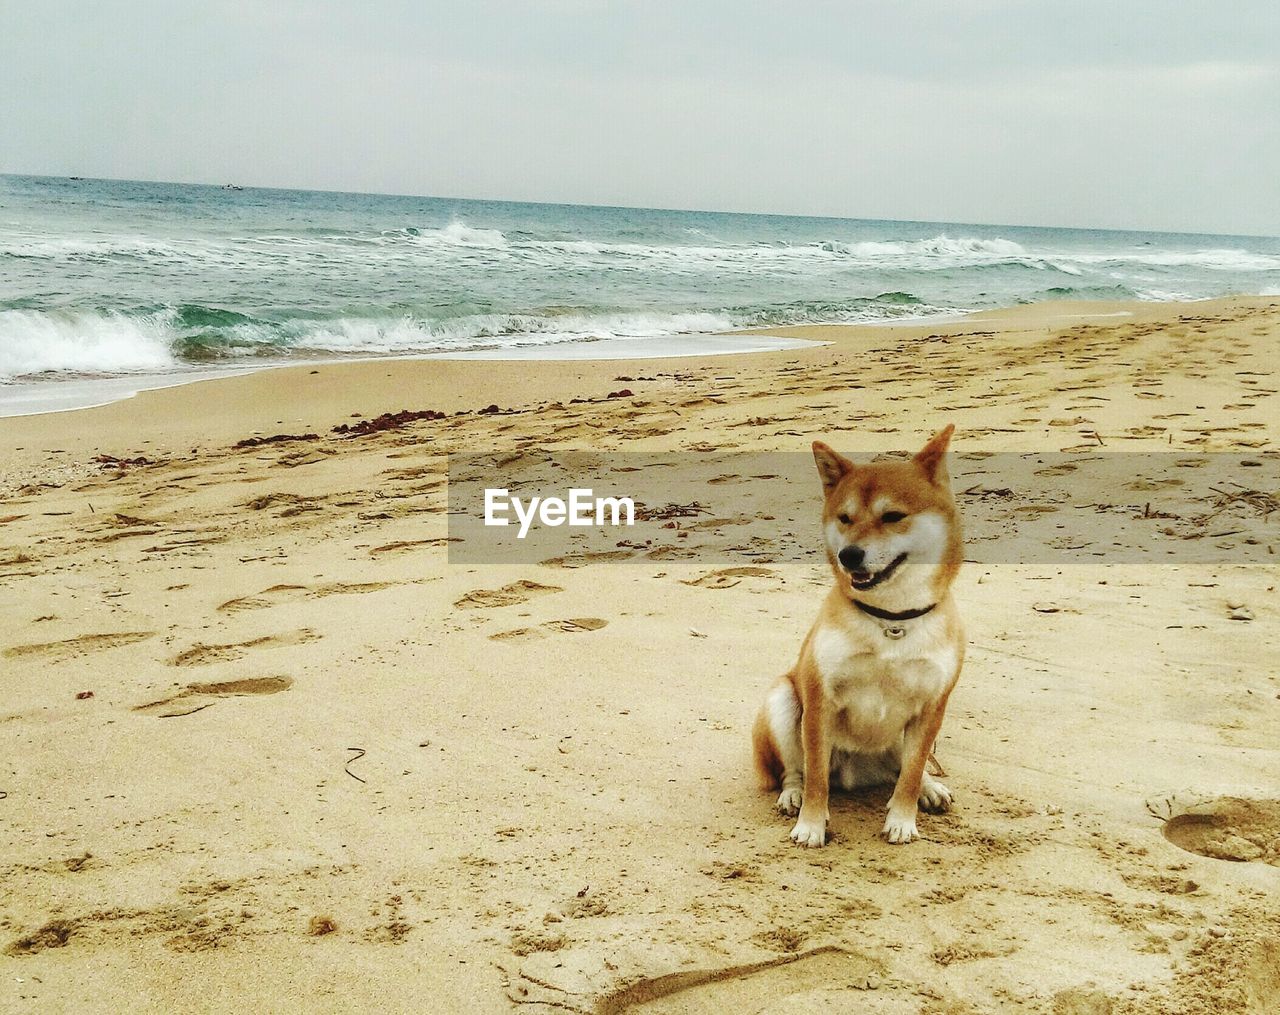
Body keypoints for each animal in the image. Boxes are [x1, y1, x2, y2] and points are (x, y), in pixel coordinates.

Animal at [747, 427, 962, 849]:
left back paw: (930, 787)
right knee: (795, 770)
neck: (890, 619)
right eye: (845, 518)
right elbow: (815, 777)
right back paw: (792, 795)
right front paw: (811, 825)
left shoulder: (932, 706)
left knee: (908, 768)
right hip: (783, 700)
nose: (849, 555)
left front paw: (903, 820)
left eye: (893, 516)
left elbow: (911, 773)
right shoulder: (820, 701)